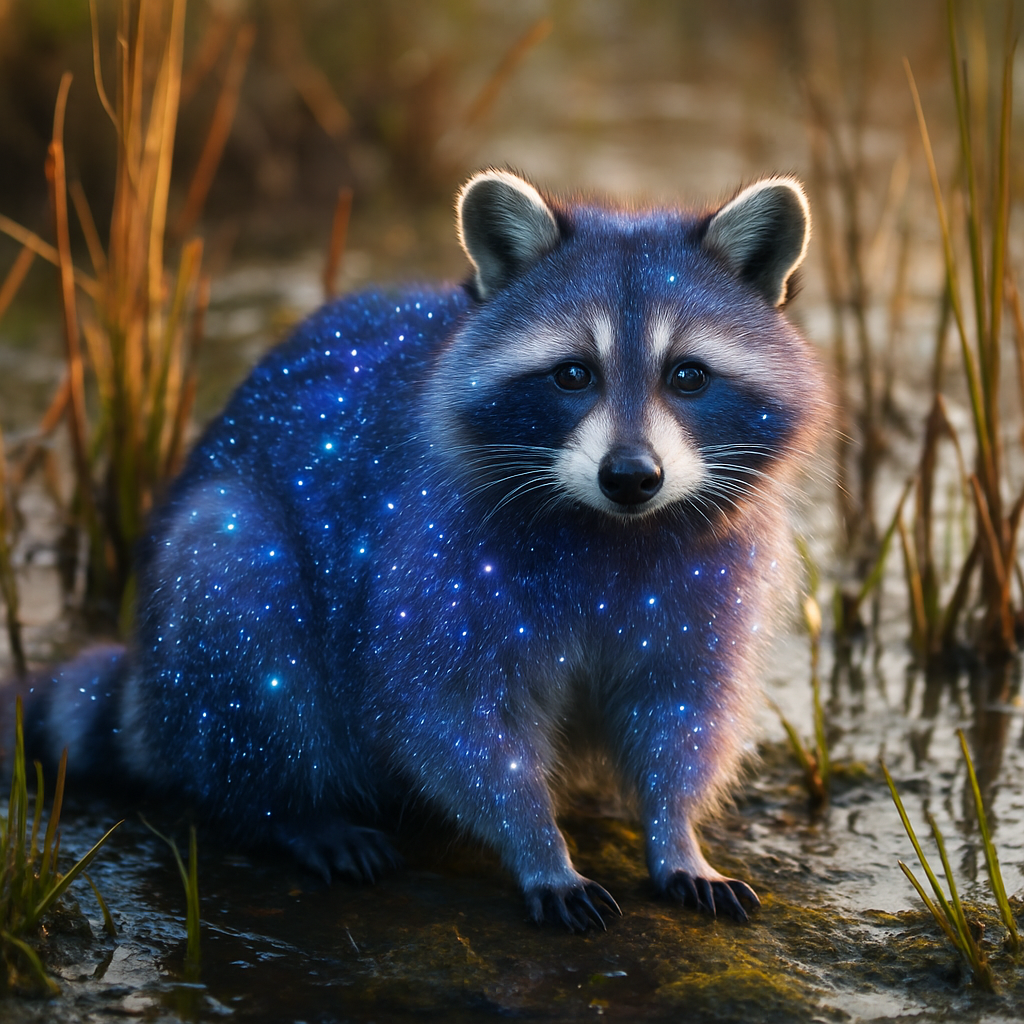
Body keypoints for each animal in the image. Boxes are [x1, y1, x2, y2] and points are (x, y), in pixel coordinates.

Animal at [17, 170, 827, 931]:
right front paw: (538, 845)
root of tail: (149, 695)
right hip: (219, 583)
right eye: (574, 374)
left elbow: (681, 710)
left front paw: (675, 834)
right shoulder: (436, 555)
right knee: (245, 608)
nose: (631, 476)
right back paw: (292, 812)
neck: (613, 526)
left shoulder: (710, 577)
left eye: (688, 376)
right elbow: (452, 719)